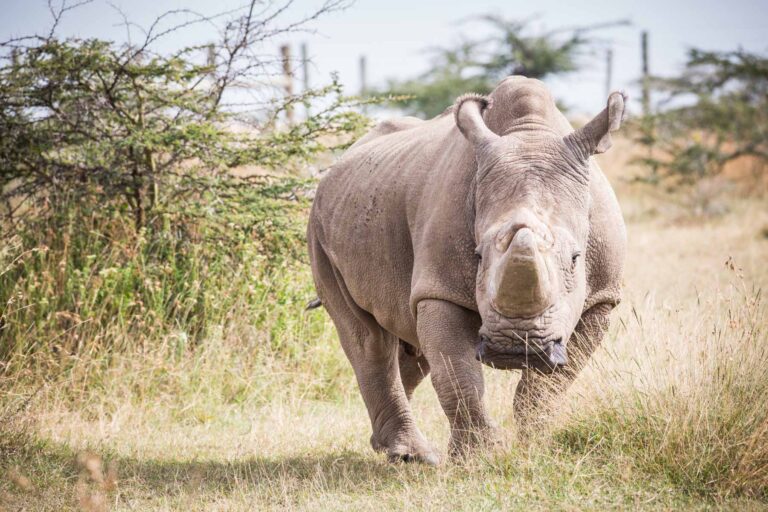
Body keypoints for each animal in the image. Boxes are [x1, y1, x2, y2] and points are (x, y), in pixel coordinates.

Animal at [308, 76, 628, 464]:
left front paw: (538, 445)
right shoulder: (440, 289)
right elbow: (459, 375)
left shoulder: (602, 297)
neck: (530, 135)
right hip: (318, 225)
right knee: (367, 339)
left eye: (576, 259)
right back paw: (413, 456)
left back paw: (386, 446)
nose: (515, 347)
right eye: (476, 256)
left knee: (410, 343)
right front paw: (480, 458)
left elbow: (548, 384)